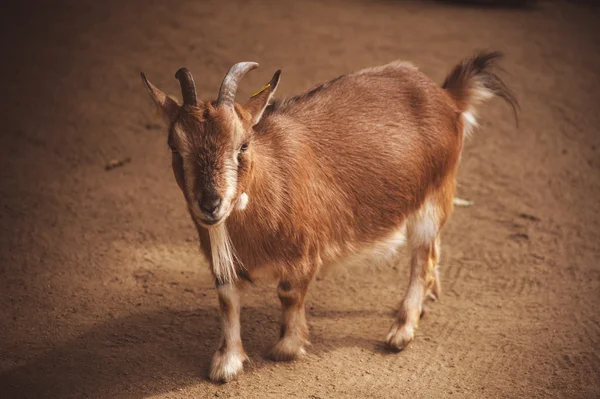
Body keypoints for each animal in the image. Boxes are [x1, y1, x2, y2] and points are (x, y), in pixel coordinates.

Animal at [139, 51, 516, 382]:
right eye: (175, 147)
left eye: (243, 145)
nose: (210, 204)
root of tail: (447, 96)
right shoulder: (222, 259)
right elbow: (227, 301)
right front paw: (226, 363)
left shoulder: (304, 253)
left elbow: (288, 294)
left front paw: (287, 347)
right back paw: (428, 298)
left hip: (434, 196)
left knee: (423, 256)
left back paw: (402, 329)